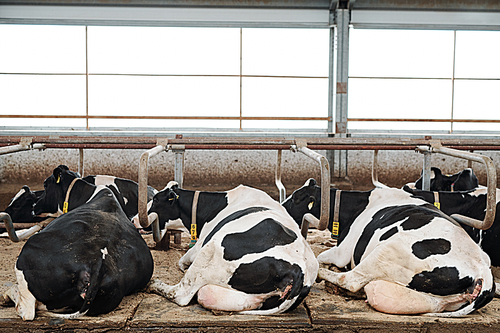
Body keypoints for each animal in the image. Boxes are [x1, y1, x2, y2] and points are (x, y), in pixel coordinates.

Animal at [146, 182, 316, 314]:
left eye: (155, 199)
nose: (139, 221)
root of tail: (297, 273)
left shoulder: (199, 247)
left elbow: (182, 261)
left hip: (211, 251)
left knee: (181, 293)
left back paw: (153, 284)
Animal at [284, 178, 494, 316]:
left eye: (295, 198)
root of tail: (482, 270)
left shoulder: (343, 251)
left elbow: (321, 257)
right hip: (439, 299)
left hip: (388, 251)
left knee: (351, 280)